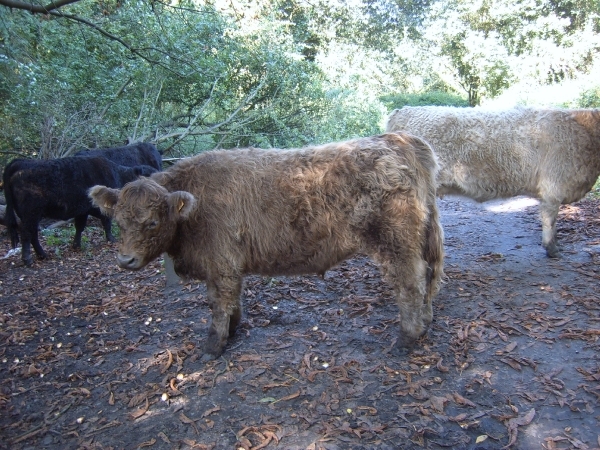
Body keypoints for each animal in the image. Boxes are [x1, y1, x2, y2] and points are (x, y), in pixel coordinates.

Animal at [2, 156, 157, 266]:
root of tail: (20, 163)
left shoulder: (82, 211)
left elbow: (80, 227)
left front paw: (76, 245)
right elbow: (106, 223)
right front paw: (111, 239)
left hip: (33, 215)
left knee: (33, 234)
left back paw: (42, 255)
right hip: (31, 214)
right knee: (27, 234)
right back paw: (28, 259)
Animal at [90, 133, 446, 358]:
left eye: (152, 222)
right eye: (119, 221)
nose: (125, 260)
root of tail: (397, 139)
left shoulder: (221, 264)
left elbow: (218, 304)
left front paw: (213, 347)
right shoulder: (227, 266)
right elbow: (231, 302)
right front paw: (233, 330)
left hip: (396, 244)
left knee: (411, 284)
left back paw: (407, 338)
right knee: (429, 277)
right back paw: (425, 324)